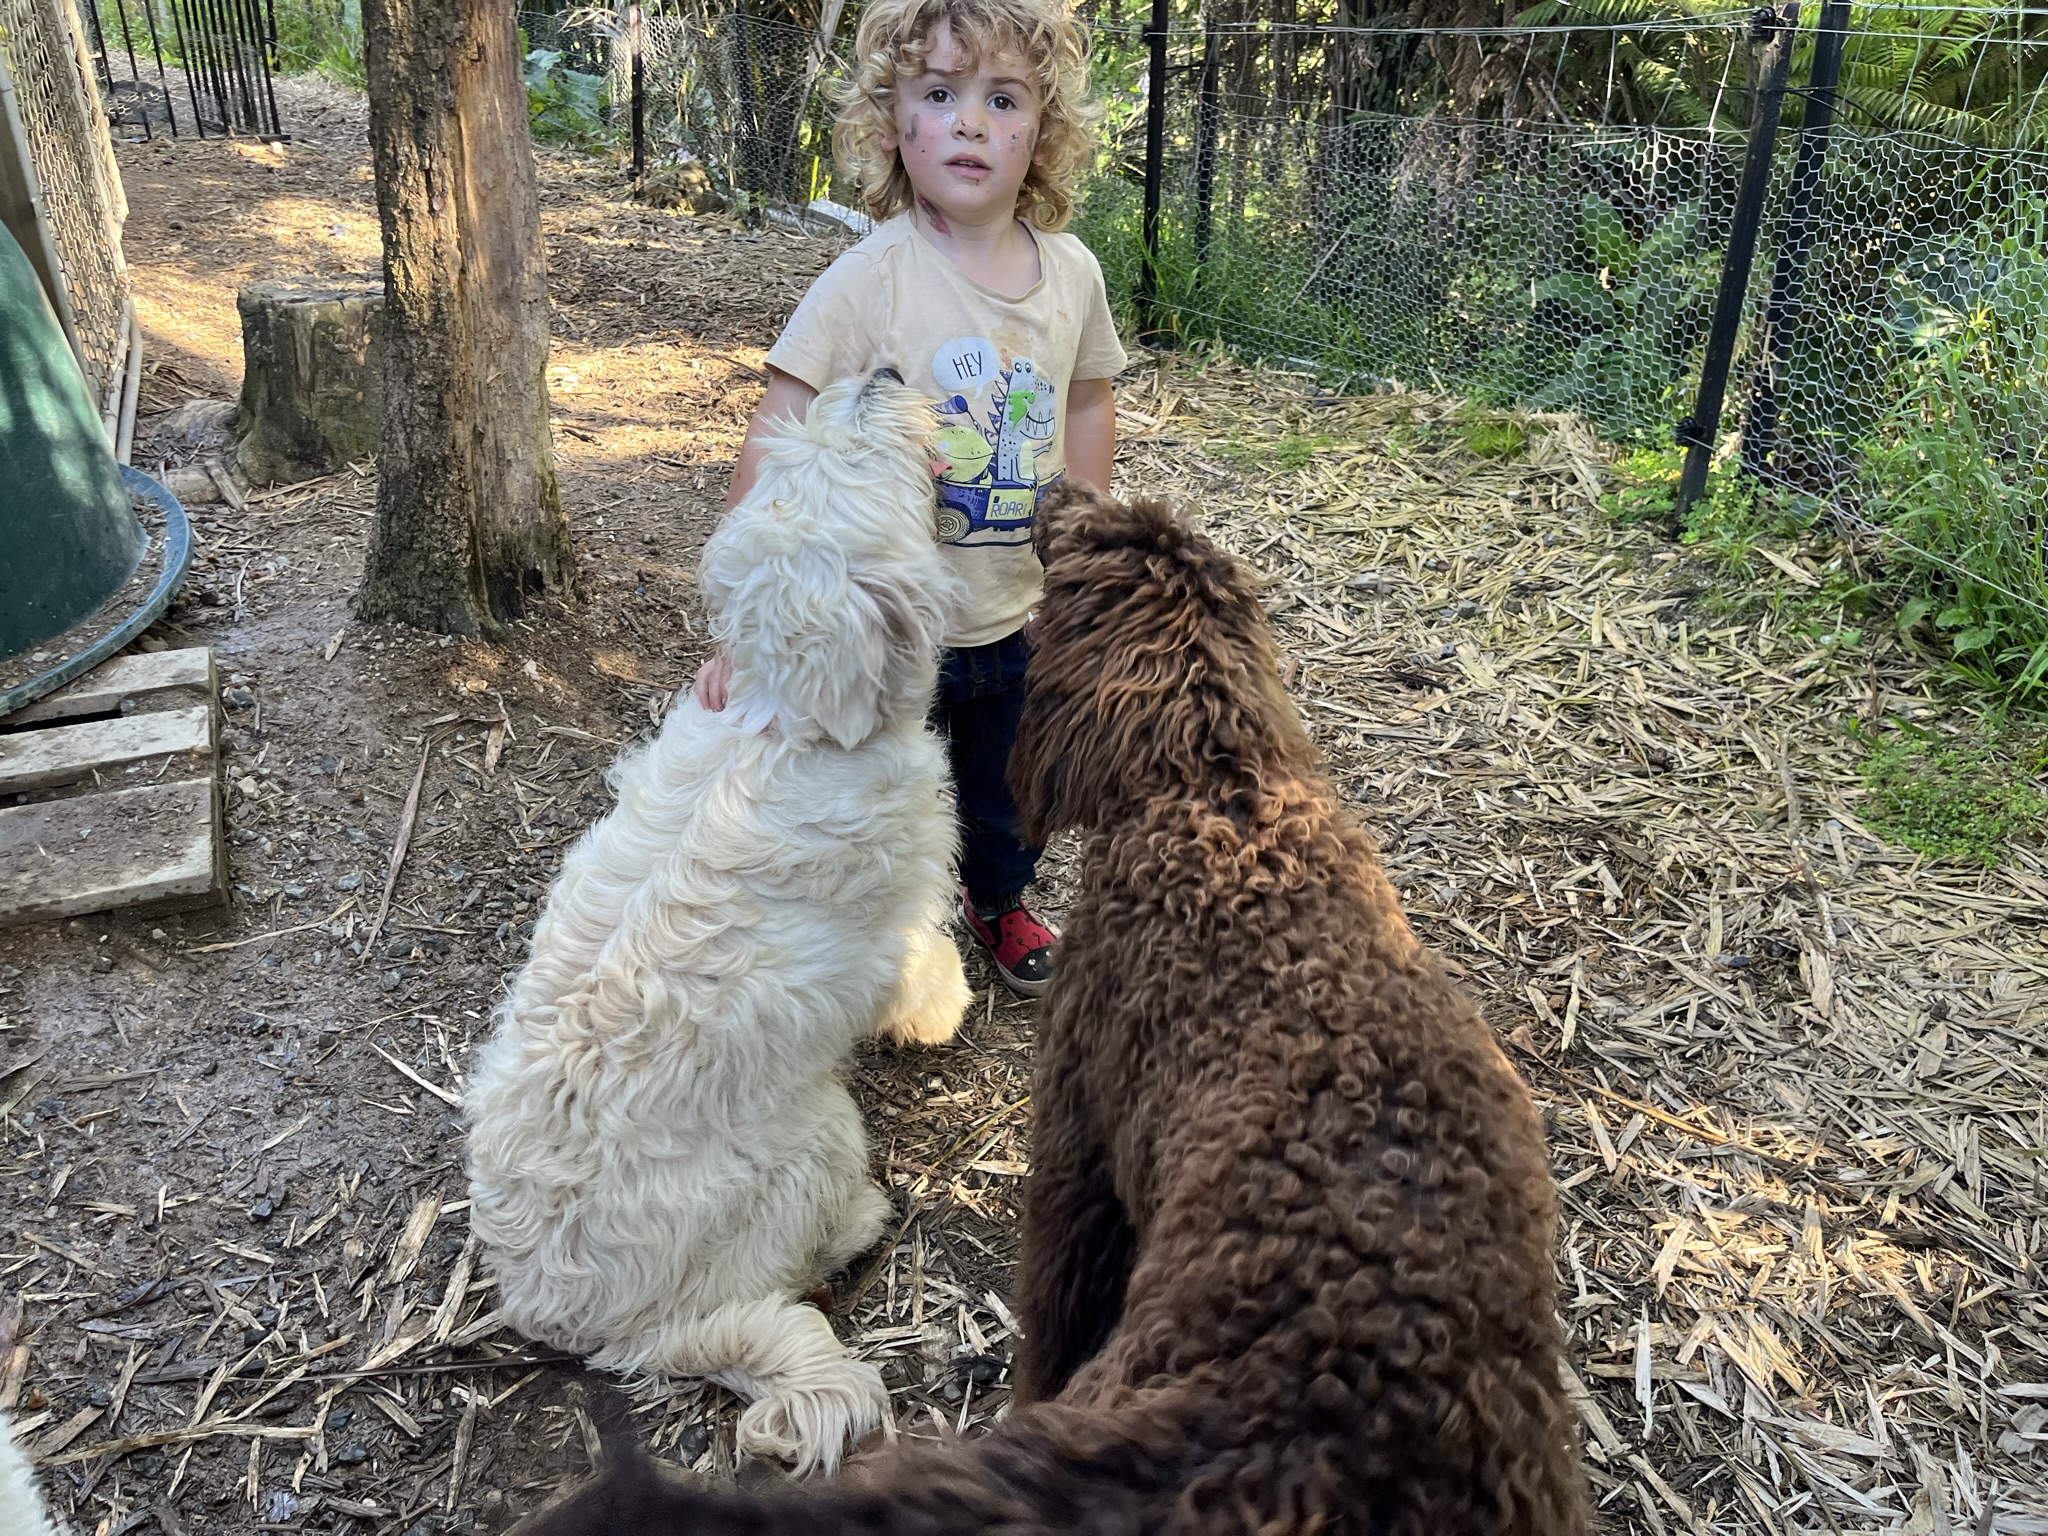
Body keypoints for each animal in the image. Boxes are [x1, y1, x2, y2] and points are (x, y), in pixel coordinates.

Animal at [468, 370, 970, 1482]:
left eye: (818, 442)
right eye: (856, 457)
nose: (877, 375)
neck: (782, 719)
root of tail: (597, 1332)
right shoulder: (898, 914)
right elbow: (923, 962)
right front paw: (943, 1009)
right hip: (814, 1136)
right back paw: (860, 1221)